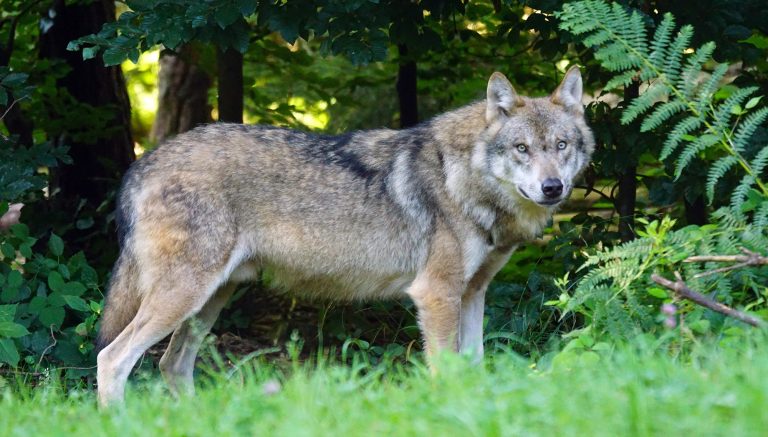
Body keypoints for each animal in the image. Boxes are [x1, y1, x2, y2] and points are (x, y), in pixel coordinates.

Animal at [96, 65, 592, 406]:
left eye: (561, 146)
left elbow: (474, 367)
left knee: (171, 365)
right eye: (522, 149)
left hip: (209, 301)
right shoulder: (436, 295)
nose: (552, 188)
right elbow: (446, 372)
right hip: (184, 297)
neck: (463, 178)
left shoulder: (472, 293)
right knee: (112, 359)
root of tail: (143, 162)